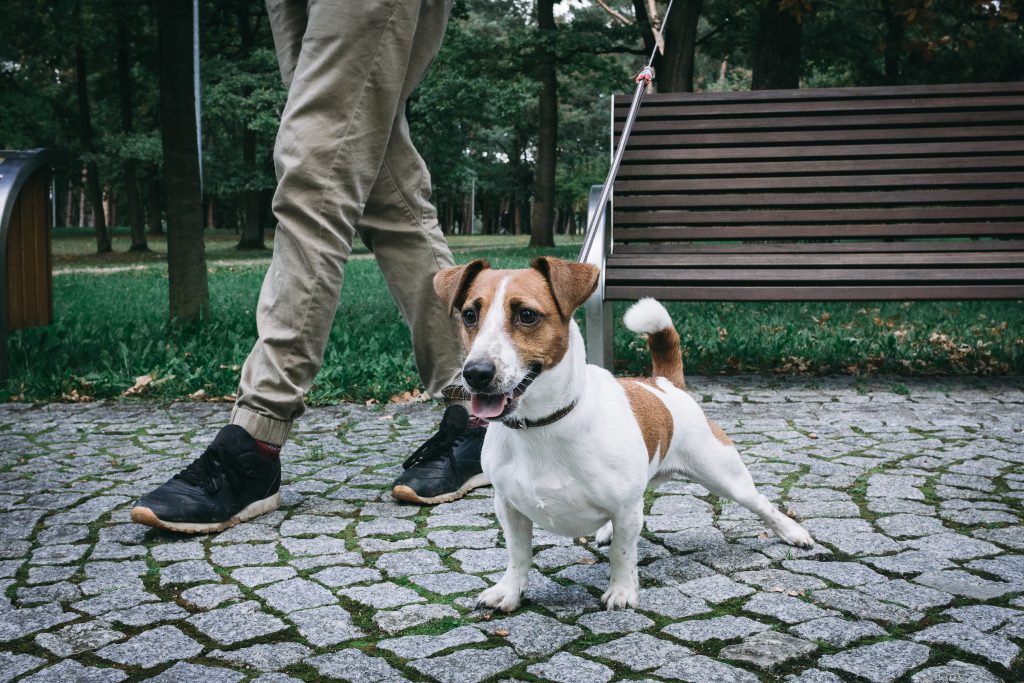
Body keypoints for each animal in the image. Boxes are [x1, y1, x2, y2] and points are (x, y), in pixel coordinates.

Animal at [434, 258, 815, 614]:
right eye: (469, 315)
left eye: (527, 315)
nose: (476, 373)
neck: (542, 424)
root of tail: (664, 383)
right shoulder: (509, 506)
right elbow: (518, 555)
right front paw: (510, 591)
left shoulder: (624, 507)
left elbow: (623, 552)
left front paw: (622, 590)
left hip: (725, 477)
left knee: (761, 504)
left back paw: (793, 532)